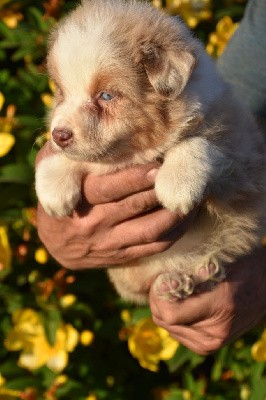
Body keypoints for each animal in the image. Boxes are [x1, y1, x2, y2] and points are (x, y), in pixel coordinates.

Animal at [35, 0, 266, 304]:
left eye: (106, 96)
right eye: (61, 92)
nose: (59, 135)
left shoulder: (244, 163)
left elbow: (198, 143)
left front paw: (176, 186)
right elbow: (68, 159)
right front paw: (54, 193)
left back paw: (202, 270)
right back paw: (173, 283)